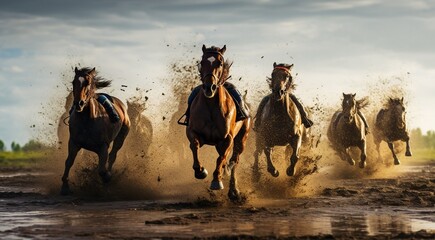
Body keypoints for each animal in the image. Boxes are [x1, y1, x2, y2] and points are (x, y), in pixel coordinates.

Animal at [60, 66, 130, 194]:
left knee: (112, 156)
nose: (78, 103)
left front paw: (107, 177)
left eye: (87, 82)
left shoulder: (103, 146)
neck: (88, 120)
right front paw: (65, 187)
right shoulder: (73, 142)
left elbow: (102, 170)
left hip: (121, 137)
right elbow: (69, 162)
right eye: (73, 82)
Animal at [187, 44, 252, 201]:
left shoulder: (227, 139)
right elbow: (194, 146)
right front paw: (200, 171)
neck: (211, 106)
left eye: (220, 63)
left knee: (234, 161)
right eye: (202, 62)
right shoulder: (193, 132)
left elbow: (221, 159)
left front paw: (216, 180)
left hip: (241, 140)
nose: (209, 87)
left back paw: (234, 191)